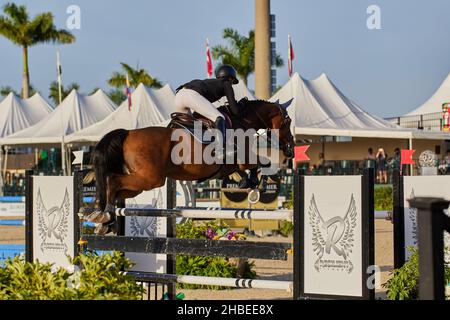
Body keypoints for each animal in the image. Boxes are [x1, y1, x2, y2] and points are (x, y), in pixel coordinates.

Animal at [81, 99, 296, 234]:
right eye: (288, 121)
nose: (291, 148)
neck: (242, 121)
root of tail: (127, 134)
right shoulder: (242, 158)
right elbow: (263, 163)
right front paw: (257, 189)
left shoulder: (232, 165)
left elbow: (248, 169)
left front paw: (247, 184)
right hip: (149, 179)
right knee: (112, 180)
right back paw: (104, 215)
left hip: (139, 184)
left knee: (115, 188)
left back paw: (104, 218)